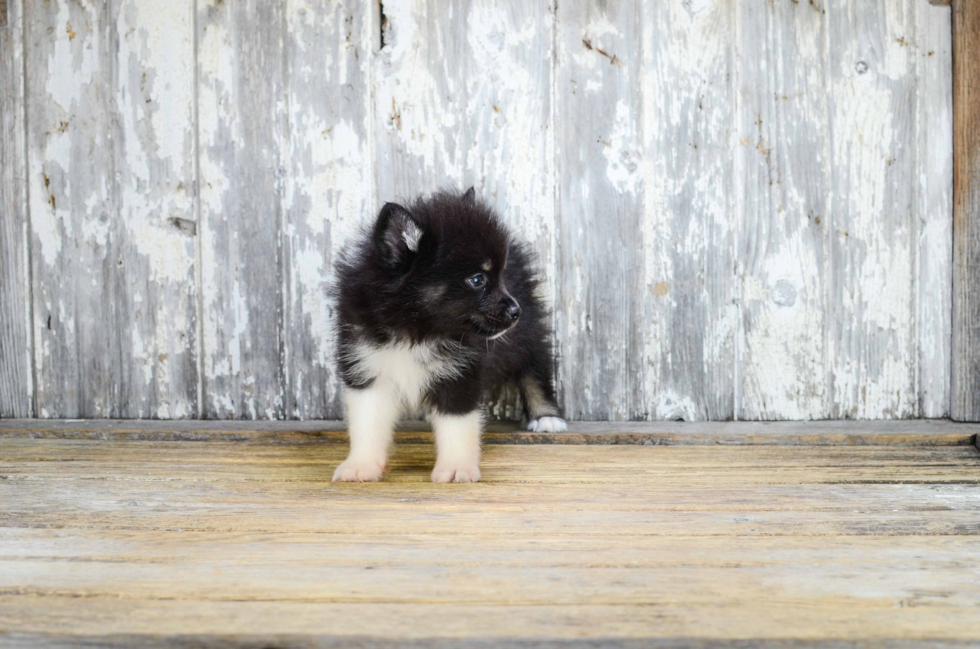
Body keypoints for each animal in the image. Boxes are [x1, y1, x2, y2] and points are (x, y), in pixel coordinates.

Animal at [334, 187, 568, 480]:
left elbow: (457, 424)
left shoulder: (461, 371)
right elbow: (367, 423)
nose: (516, 312)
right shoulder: (366, 364)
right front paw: (360, 465)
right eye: (477, 279)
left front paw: (456, 468)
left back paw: (546, 415)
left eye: (500, 277)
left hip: (527, 332)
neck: (418, 329)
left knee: (533, 365)